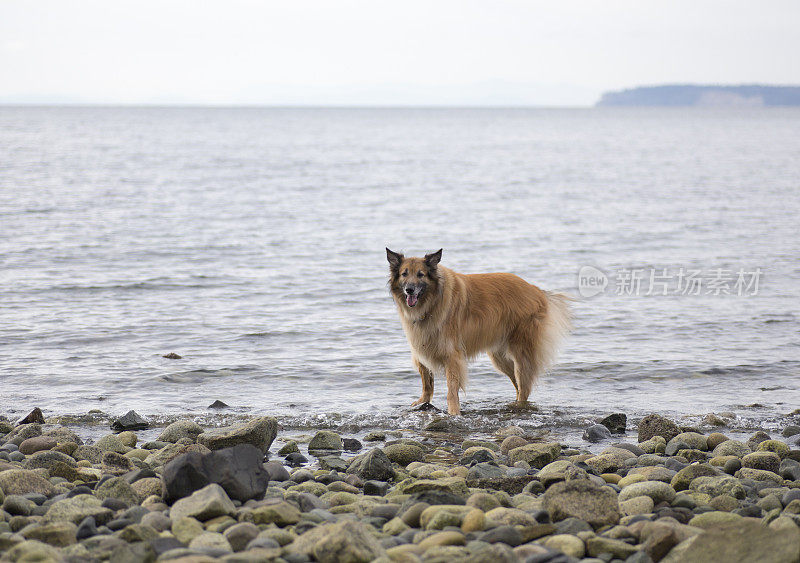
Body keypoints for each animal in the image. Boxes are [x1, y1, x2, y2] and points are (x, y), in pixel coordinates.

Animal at [386, 249, 568, 416]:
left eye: (421, 274)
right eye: (404, 274)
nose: (409, 290)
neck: (431, 303)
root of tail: (535, 289)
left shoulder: (452, 355)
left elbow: (451, 388)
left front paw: (453, 412)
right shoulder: (421, 349)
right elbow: (427, 382)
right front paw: (422, 401)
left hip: (521, 355)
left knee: (524, 388)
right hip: (501, 358)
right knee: (519, 386)